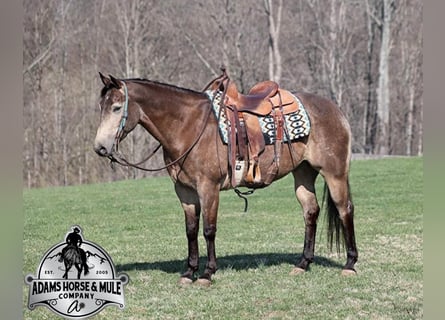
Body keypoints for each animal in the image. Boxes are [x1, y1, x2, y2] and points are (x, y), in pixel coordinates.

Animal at [93, 69, 358, 284]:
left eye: (116, 108)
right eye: (101, 108)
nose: (100, 148)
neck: (188, 125)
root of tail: (336, 110)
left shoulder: (208, 187)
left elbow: (209, 229)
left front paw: (207, 273)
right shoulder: (184, 191)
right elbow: (191, 230)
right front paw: (189, 272)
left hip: (334, 173)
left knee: (345, 209)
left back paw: (350, 264)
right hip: (303, 172)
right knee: (310, 212)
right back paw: (303, 264)